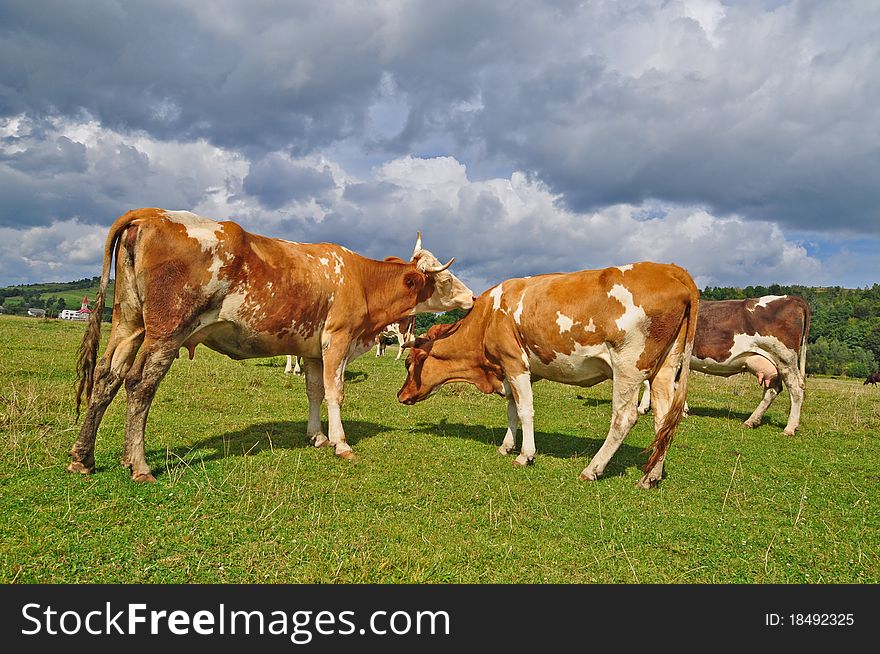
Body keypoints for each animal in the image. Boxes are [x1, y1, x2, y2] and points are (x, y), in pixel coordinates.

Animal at [70, 210, 474, 482]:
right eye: (446, 278)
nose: (472, 297)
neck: (360, 279)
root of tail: (152, 213)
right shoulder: (337, 339)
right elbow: (334, 392)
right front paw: (341, 443)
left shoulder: (311, 348)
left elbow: (314, 391)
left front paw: (317, 436)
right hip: (167, 332)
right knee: (140, 384)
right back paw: (138, 464)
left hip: (129, 324)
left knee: (107, 377)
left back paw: (84, 458)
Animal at [396, 264, 696, 490]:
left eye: (409, 363)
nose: (400, 395)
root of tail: (669, 268)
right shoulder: (511, 370)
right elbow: (512, 410)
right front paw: (506, 446)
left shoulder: (515, 363)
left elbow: (525, 411)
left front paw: (525, 455)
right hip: (665, 368)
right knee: (664, 419)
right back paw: (651, 476)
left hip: (628, 366)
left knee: (624, 418)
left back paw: (593, 468)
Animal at [632, 298, 812, 436]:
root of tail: (793, 298)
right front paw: (683, 410)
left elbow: (648, 382)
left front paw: (643, 408)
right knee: (772, 390)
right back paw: (751, 421)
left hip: (785, 359)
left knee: (796, 390)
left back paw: (789, 428)